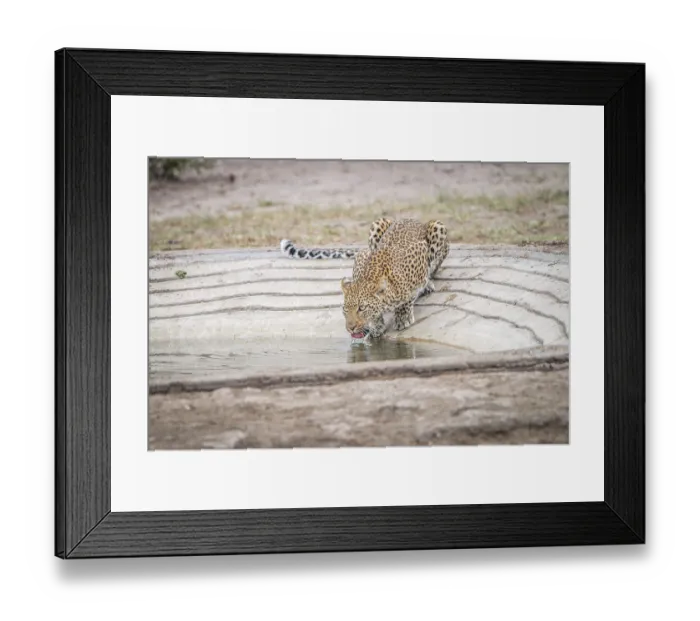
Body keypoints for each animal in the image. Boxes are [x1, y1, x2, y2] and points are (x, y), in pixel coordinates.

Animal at [280, 217, 449, 339]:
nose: (351, 328)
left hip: (438, 227)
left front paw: (403, 316)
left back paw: (428, 286)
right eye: (345, 309)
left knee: (433, 268)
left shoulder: (419, 252)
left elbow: (408, 296)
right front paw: (377, 325)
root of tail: (415, 219)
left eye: (361, 308)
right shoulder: (361, 256)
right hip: (377, 224)